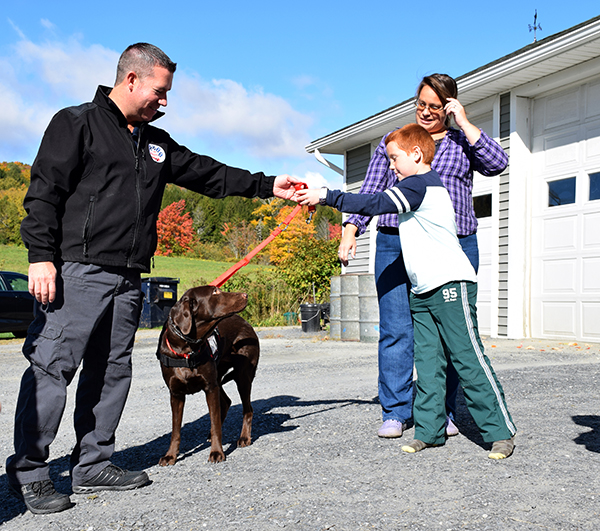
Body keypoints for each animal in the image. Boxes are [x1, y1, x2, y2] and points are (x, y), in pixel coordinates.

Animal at [156, 286, 258, 466]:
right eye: (215, 292)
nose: (245, 295)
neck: (187, 350)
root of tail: (246, 323)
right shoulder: (176, 394)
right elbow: (176, 430)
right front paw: (171, 455)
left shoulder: (210, 388)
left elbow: (215, 423)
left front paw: (217, 452)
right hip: (219, 377)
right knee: (226, 401)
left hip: (242, 377)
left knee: (248, 409)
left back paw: (244, 437)